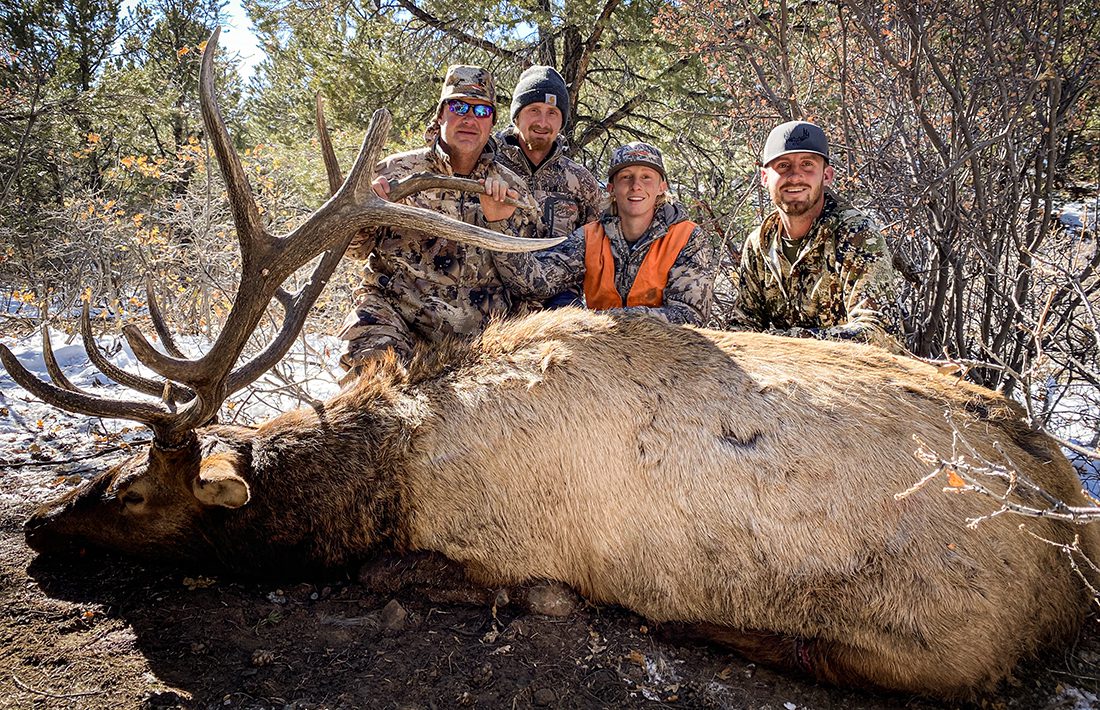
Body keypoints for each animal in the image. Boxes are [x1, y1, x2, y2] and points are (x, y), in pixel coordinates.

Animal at [4, 31, 1098, 701]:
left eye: (132, 484)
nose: (38, 521)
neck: (393, 469)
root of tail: (1072, 529)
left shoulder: (498, 551)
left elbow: (437, 579)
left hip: (940, 641)